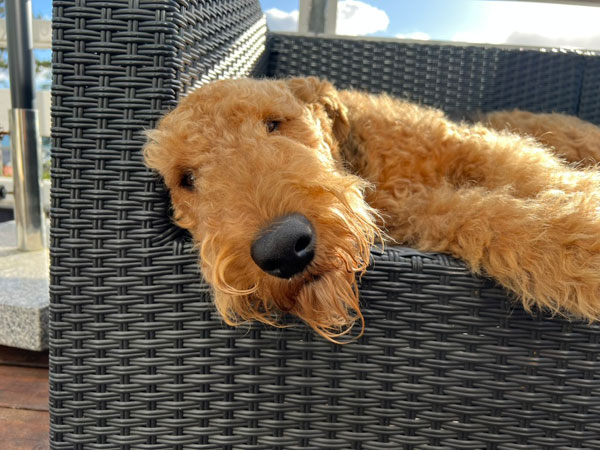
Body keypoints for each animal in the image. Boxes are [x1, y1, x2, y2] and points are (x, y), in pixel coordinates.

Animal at [144, 77, 600, 341]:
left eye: (274, 123)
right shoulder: (414, 213)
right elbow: (483, 217)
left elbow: (535, 172)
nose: (283, 248)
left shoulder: (469, 146)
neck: (368, 165)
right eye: (186, 179)